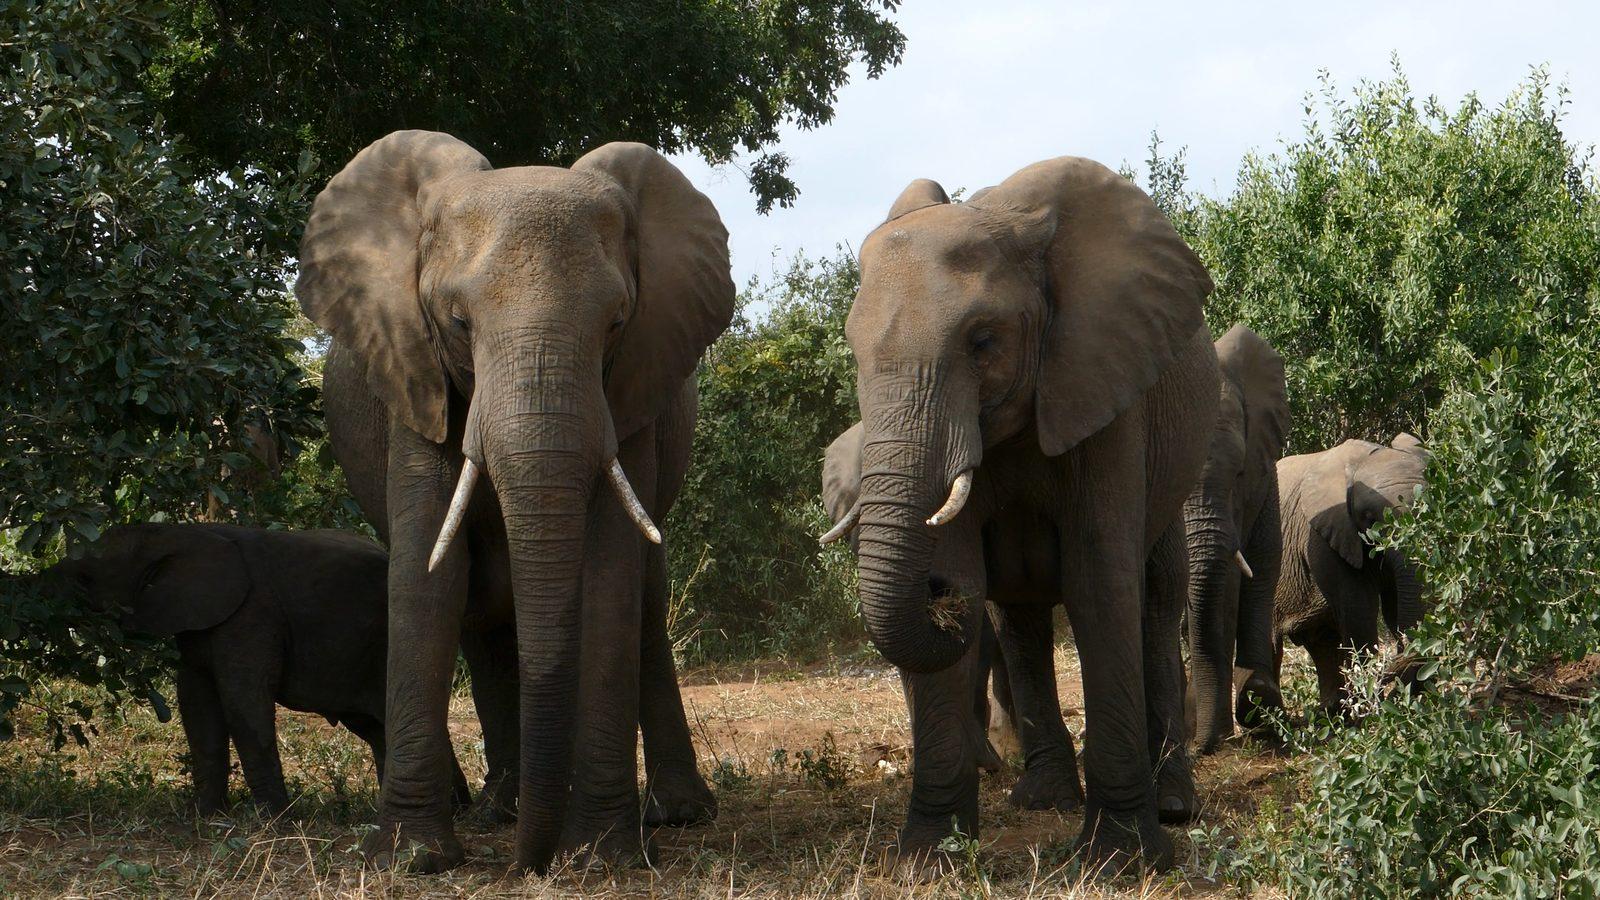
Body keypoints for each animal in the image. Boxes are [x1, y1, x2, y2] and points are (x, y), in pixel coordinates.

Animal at [20, 523, 469, 816]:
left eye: (83, 579)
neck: (174, 533)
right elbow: (196, 706)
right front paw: (205, 816)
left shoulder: (251, 614)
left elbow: (243, 703)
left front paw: (270, 820)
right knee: (378, 728)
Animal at [296, 131, 734, 873]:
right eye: (457, 321)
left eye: (616, 323)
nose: (529, 866)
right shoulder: (415, 377)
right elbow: (427, 577)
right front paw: (415, 858)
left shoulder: (633, 387)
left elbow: (610, 578)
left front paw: (601, 857)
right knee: (480, 613)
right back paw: (502, 811)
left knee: (644, 599)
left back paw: (675, 815)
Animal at [825, 157, 1219, 872]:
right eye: (855, 353)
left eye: (982, 341)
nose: (935, 595)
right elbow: (974, 571)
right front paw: (928, 857)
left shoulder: (1103, 384)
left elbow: (1099, 583)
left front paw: (1121, 859)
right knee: (1021, 617)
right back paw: (1045, 799)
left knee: (1155, 596)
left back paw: (1174, 803)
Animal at [1273, 434, 1429, 717]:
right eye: (1369, 518)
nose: (1388, 678)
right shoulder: (1324, 537)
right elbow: (1359, 609)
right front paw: (1370, 713)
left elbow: (1395, 608)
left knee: (1321, 638)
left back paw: (1331, 713)